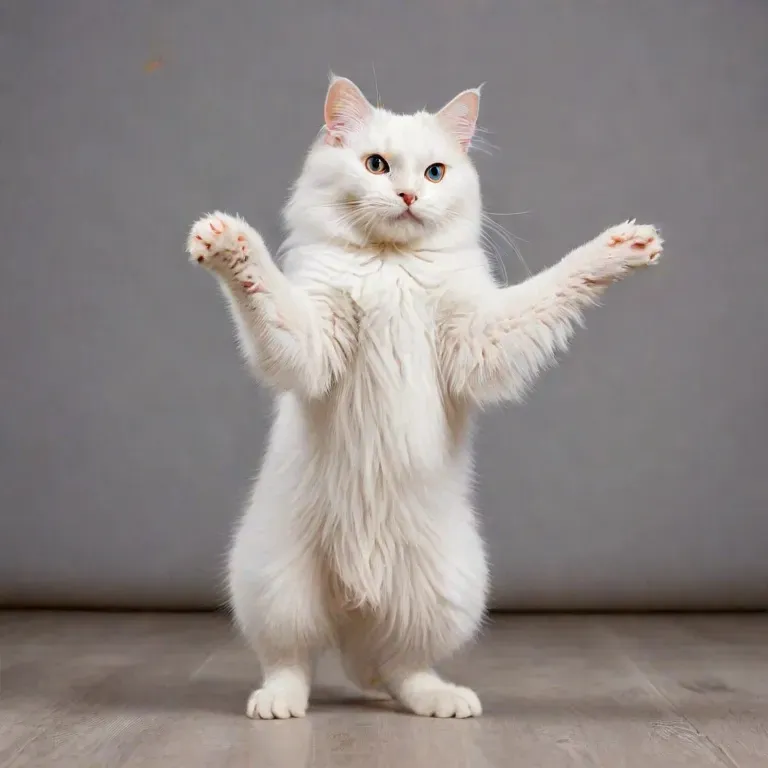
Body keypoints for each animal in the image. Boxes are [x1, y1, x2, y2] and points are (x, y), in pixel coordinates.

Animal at [184, 75, 660, 716]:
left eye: (435, 173)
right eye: (377, 165)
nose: (409, 195)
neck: (392, 266)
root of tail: (355, 609)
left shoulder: (479, 339)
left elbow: (558, 283)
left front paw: (627, 247)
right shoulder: (312, 345)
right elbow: (265, 294)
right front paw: (225, 242)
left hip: (444, 592)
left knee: (400, 665)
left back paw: (441, 701)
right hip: (278, 587)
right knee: (294, 662)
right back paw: (280, 704)